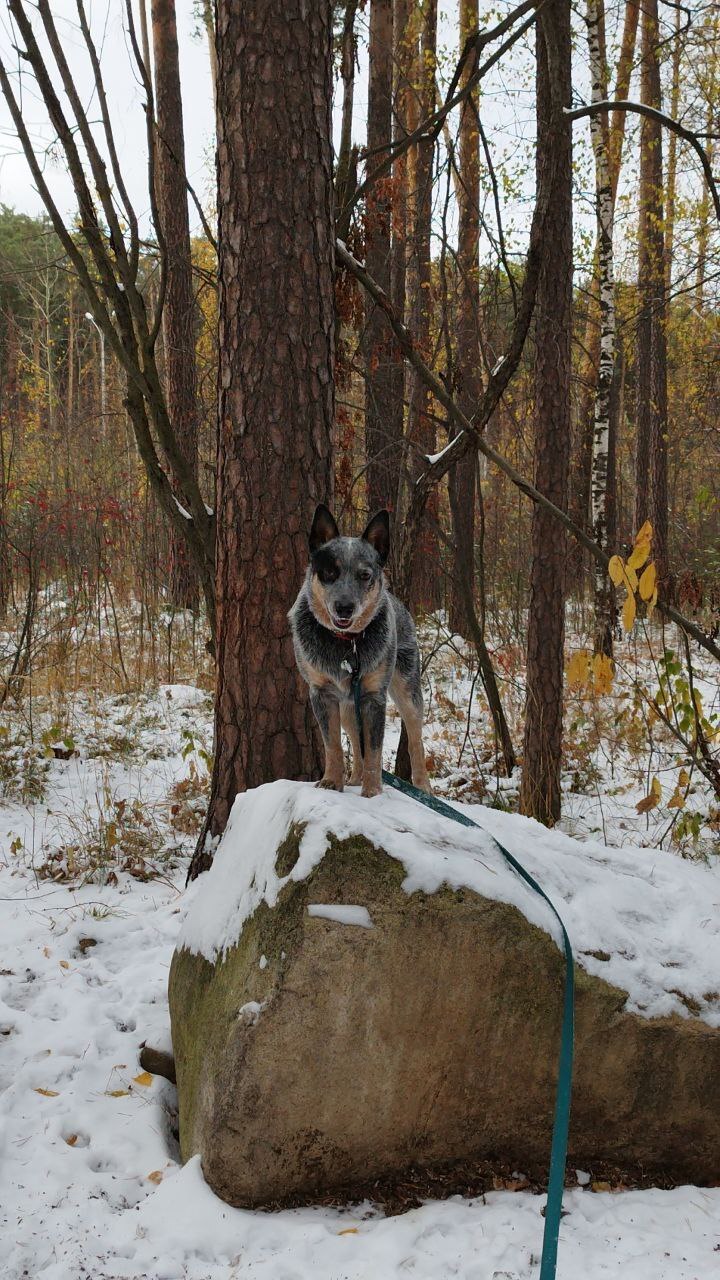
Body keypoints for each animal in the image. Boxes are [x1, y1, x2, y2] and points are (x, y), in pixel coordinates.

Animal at [286, 501, 430, 793]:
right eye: (330, 572)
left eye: (365, 575)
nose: (344, 607)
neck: (346, 644)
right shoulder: (323, 694)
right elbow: (333, 746)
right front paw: (332, 781)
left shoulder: (374, 696)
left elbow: (374, 751)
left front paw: (373, 792)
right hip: (347, 704)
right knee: (354, 739)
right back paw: (353, 779)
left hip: (406, 689)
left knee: (415, 739)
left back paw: (422, 787)